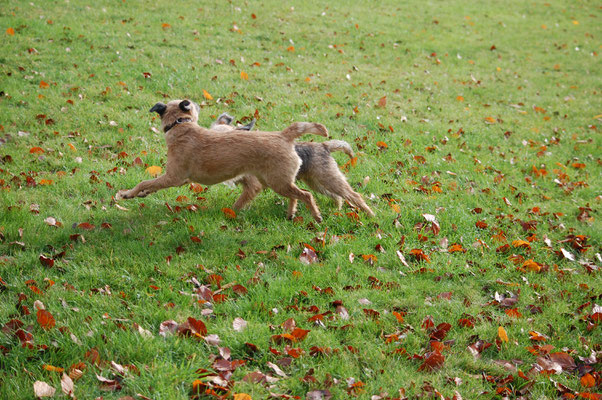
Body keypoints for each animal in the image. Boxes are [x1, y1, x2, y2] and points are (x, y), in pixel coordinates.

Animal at [116, 101, 328, 222]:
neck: (181, 125)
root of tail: (283, 135)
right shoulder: (180, 179)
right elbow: (151, 185)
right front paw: (141, 194)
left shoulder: (173, 177)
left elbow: (145, 182)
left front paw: (127, 193)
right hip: (278, 181)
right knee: (295, 195)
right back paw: (291, 213)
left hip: (277, 181)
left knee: (306, 195)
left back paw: (316, 215)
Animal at [209, 112, 372, 219]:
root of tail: (324, 146)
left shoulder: (253, 186)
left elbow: (238, 203)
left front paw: (231, 213)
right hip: (317, 183)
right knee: (337, 196)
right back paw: (335, 210)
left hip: (328, 179)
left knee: (354, 195)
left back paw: (370, 214)